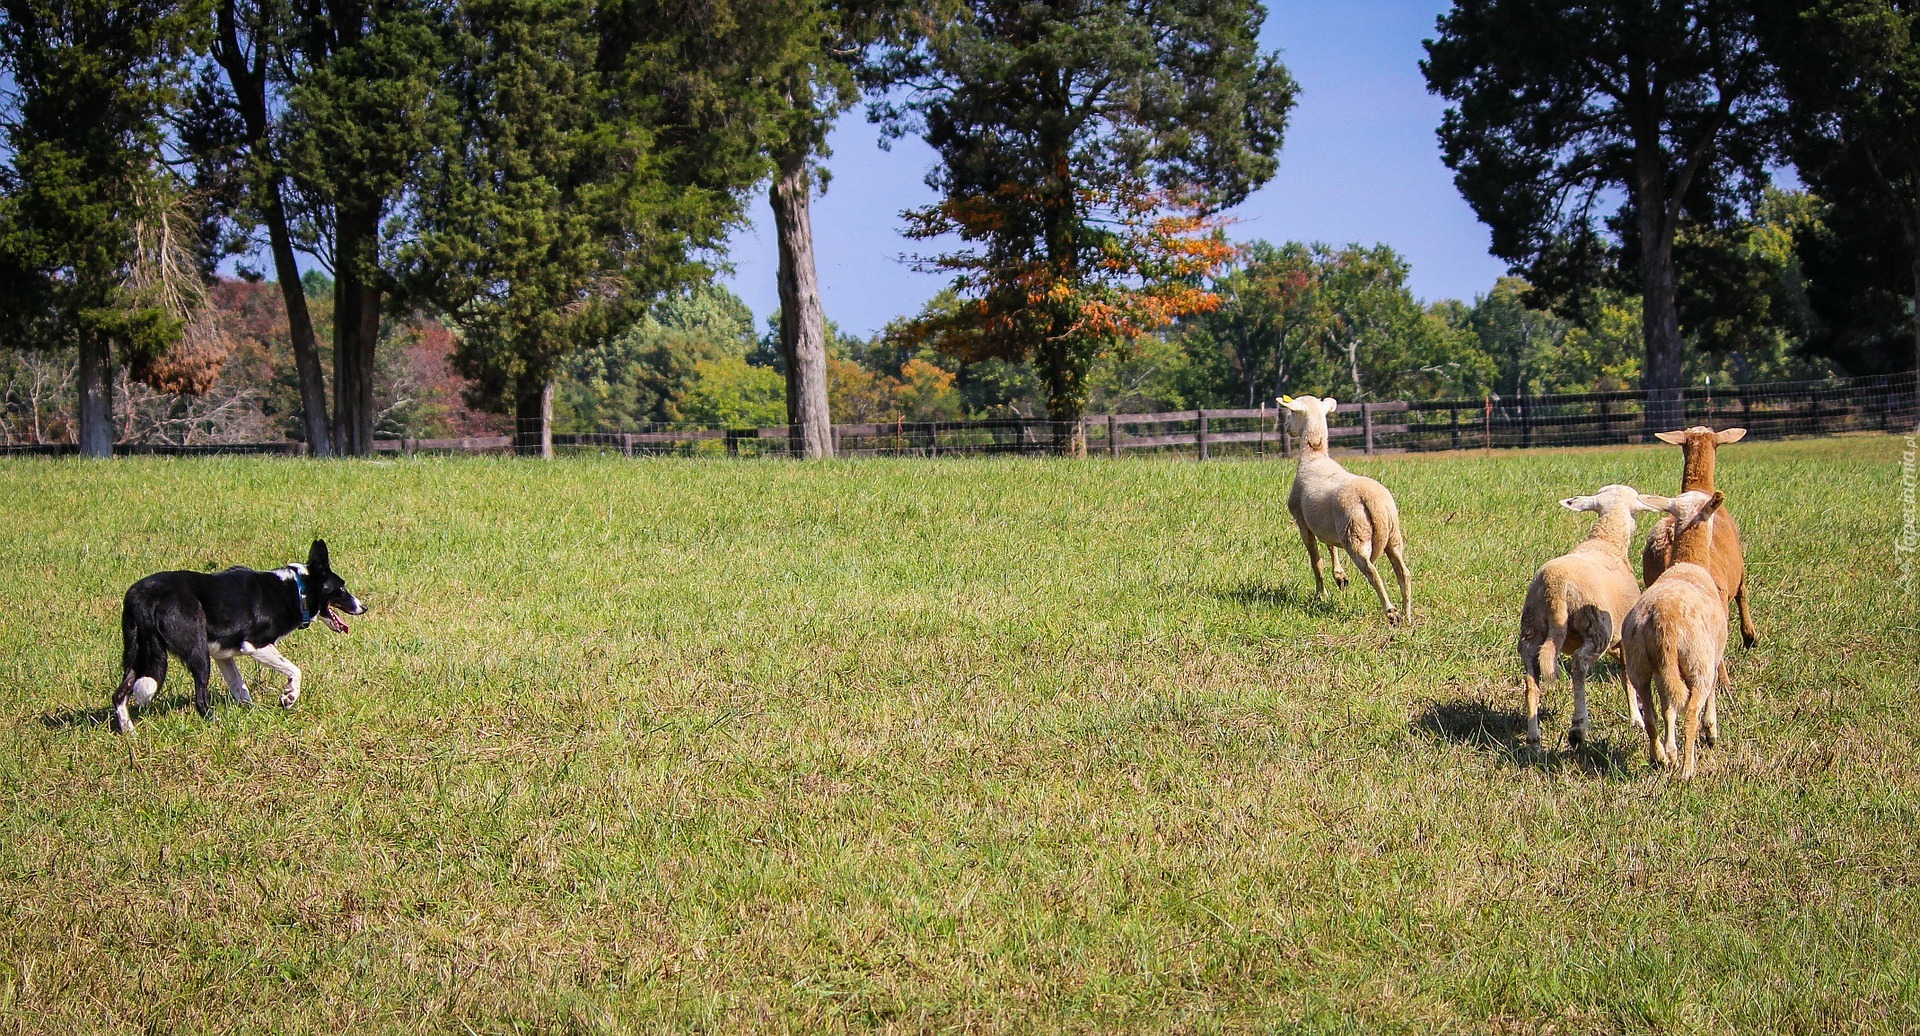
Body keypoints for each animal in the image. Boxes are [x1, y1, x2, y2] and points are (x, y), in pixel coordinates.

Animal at [1274, 395, 1413, 621]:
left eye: (1292, 412)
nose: (1286, 427)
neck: (1314, 455)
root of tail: (1373, 501)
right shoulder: (1326, 525)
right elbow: (1331, 547)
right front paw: (1340, 577)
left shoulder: (1303, 522)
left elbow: (1316, 561)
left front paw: (1321, 595)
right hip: (1393, 536)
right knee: (1404, 572)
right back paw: (1407, 615)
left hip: (1355, 534)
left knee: (1372, 571)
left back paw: (1391, 612)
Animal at [1512, 481, 1666, 748]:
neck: (1606, 542)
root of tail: (1556, 584)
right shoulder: (1625, 638)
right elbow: (1627, 677)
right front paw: (1636, 719)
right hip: (1597, 630)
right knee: (1579, 664)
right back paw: (1578, 728)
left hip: (1530, 630)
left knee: (1532, 681)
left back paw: (1534, 737)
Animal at [1620, 491, 1728, 775]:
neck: (1689, 563)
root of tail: (1663, 621)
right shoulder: (1713, 657)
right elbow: (1710, 695)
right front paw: (1711, 730)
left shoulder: (1663, 671)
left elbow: (1668, 707)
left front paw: (1670, 751)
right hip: (1697, 661)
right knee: (1691, 713)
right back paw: (1687, 771)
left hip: (1640, 663)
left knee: (1651, 714)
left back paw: (1659, 756)